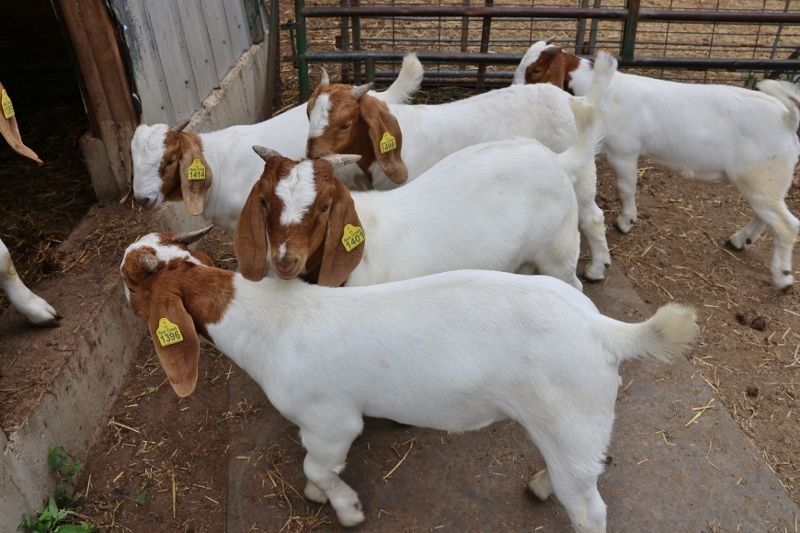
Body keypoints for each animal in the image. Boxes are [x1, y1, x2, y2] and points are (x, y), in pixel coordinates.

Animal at [120, 227, 699, 533]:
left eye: (130, 283)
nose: (121, 292)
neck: (265, 321)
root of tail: (605, 330)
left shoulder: (331, 420)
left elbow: (319, 463)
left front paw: (344, 507)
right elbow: (314, 467)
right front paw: (318, 494)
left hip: (571, 413)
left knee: (589, 507)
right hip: (570, 421)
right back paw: (540, 483)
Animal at [305, 52, 619, 281]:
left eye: (345, 124)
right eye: (308, 113)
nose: (313, 156)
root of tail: (575, 98)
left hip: (582, 174)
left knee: (592, 217)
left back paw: (596, 267)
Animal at [515, 40, 800, 290]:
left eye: (536, 70)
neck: (604, 91)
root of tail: (787, 119)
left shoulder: (624, 151)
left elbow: (626, 187)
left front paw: (626, 221)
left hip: (761, 178)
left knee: (787, 225)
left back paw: (783, 277)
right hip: (766, 183)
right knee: (767, 216)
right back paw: (741, 240)